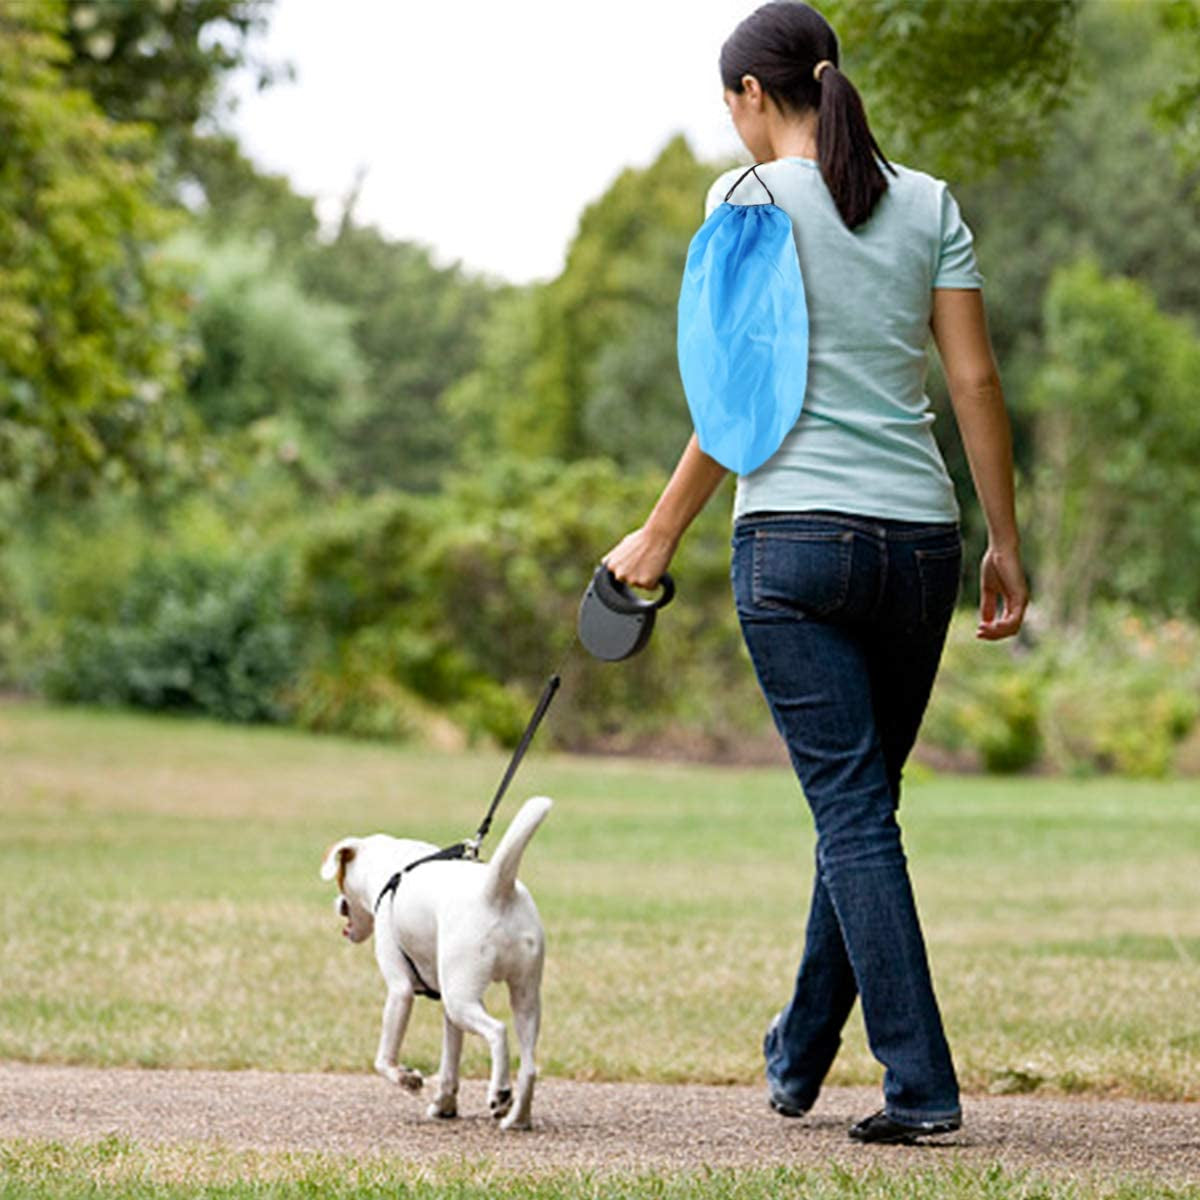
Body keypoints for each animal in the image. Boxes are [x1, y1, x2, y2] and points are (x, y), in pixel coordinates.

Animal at [314, 796, 549, 1123]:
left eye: (339, 880)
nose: (337, 904)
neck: (394, 868)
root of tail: (497, 889)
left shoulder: (400, 990)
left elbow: (383, 1060)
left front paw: (407, 1079)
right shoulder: (451, 1010)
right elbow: (450, 1063)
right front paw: (444, 1105)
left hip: (462, 1001)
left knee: (498, 1032)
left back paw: (500, 1093)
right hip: (523, 1000)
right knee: (529, 1067)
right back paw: (518, 1118)